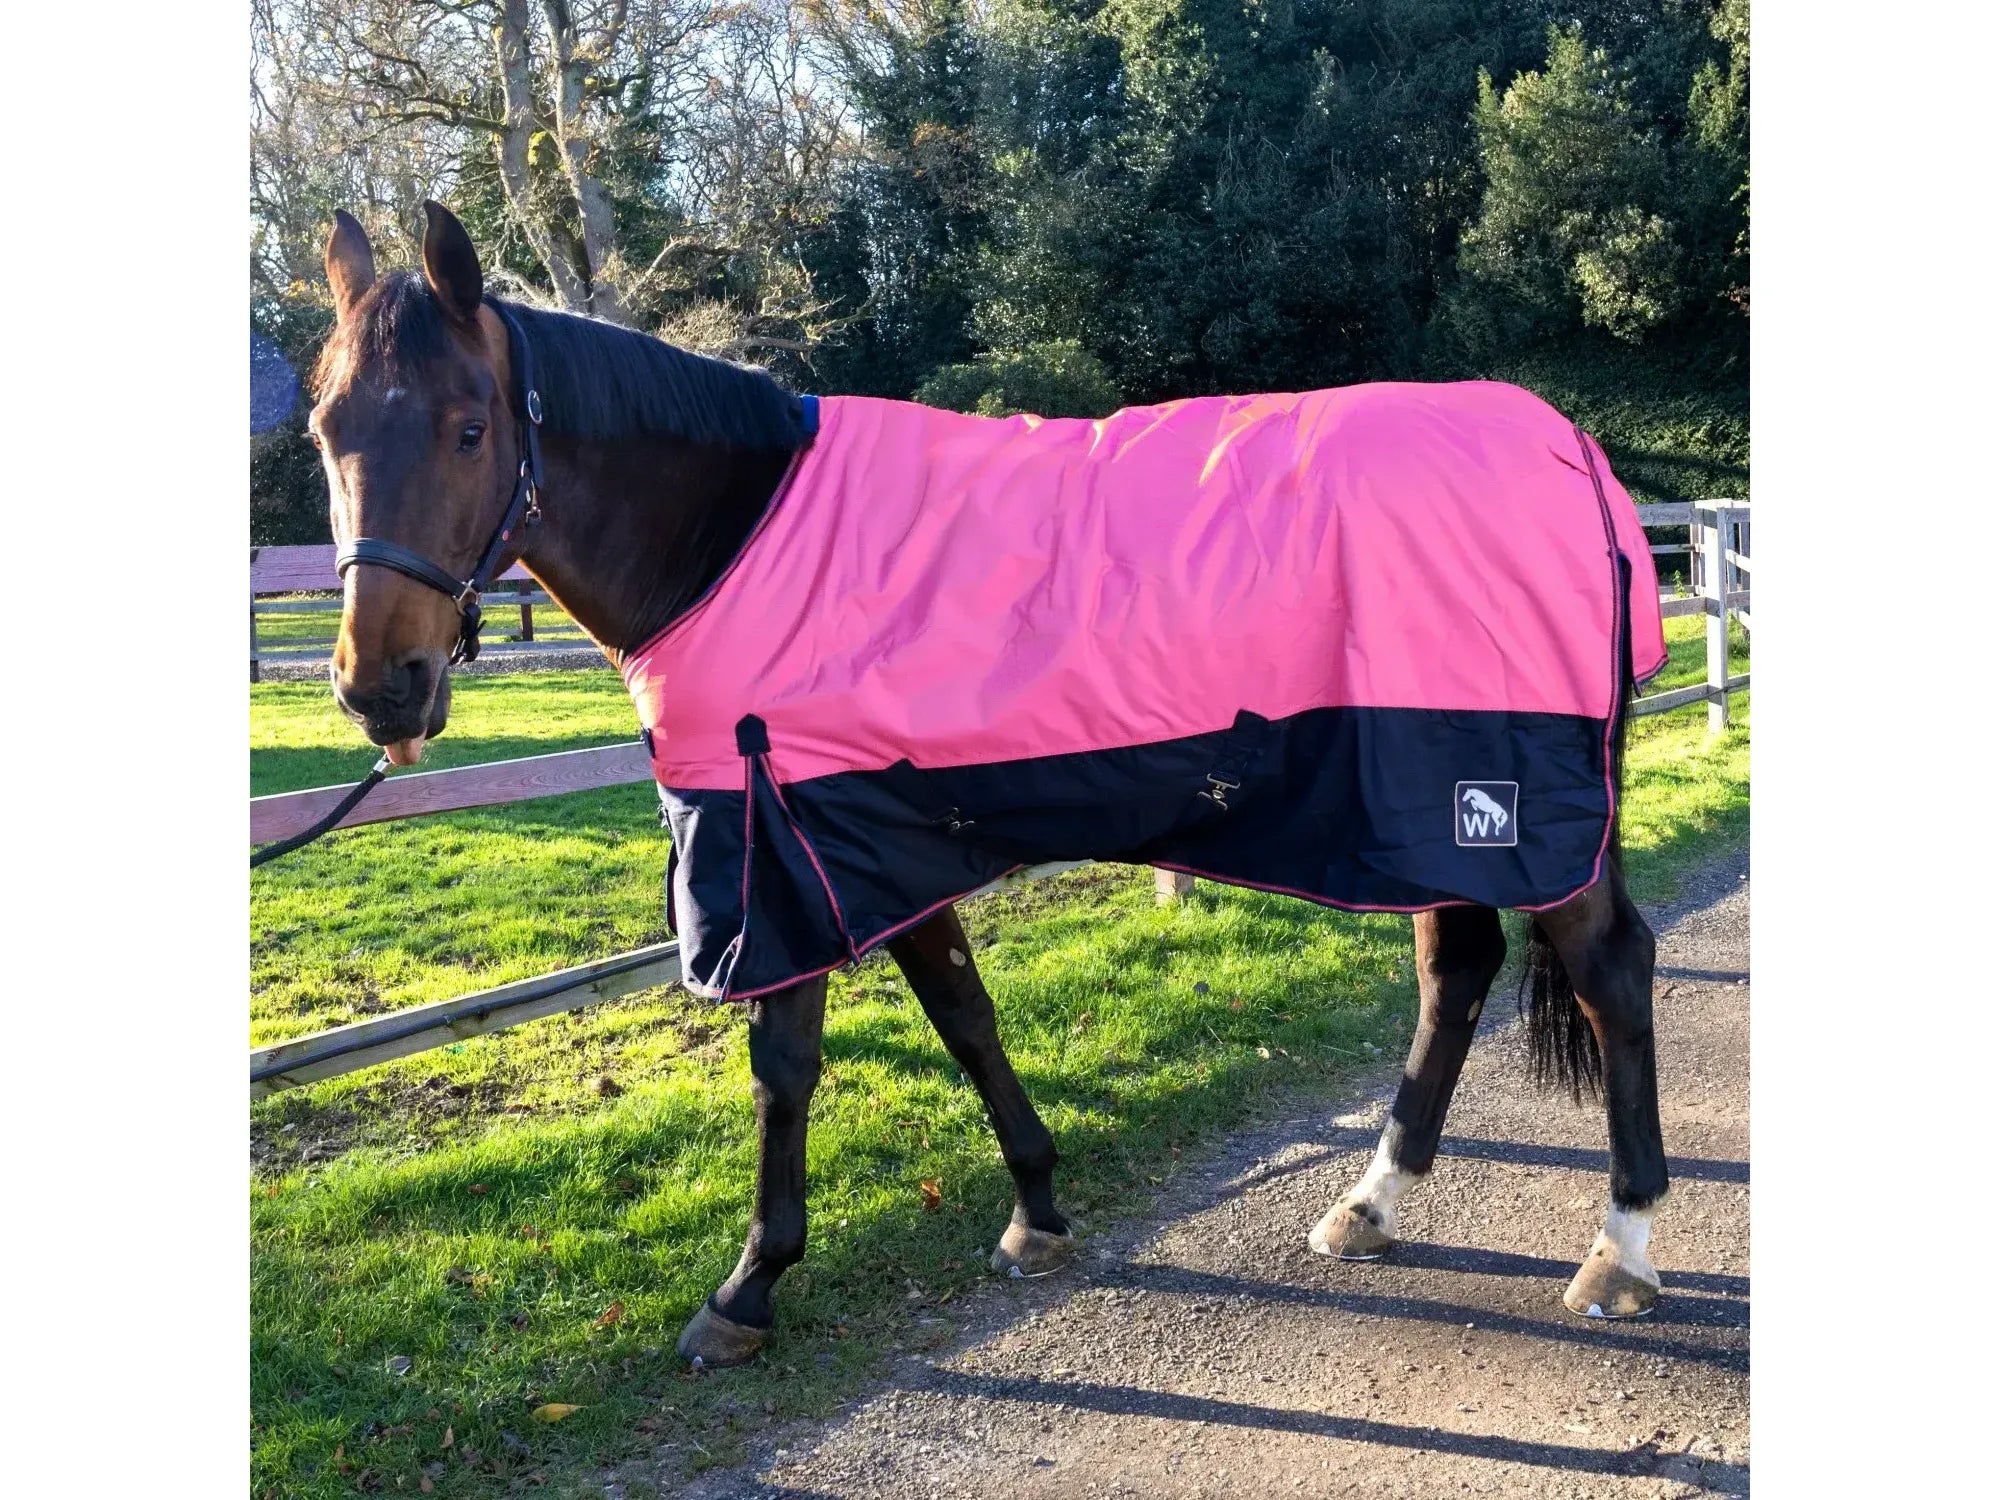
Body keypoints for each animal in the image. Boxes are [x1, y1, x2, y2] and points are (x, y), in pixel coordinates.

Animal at [308, 201, 1670, 1368]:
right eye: (328, 431)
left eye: (469, 426)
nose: (383, 687)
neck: (737, 536)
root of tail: (1570, 452)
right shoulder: (870, 840)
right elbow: (964, 1016)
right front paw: (1036, 1207)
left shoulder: (773, 852)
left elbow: (785, 1067)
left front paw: (747, 1287)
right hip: (1420, 799)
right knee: (1456, 969)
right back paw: (1373, 1202)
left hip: (1494, 791)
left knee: (1606, 971)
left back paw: (1620, 1247)